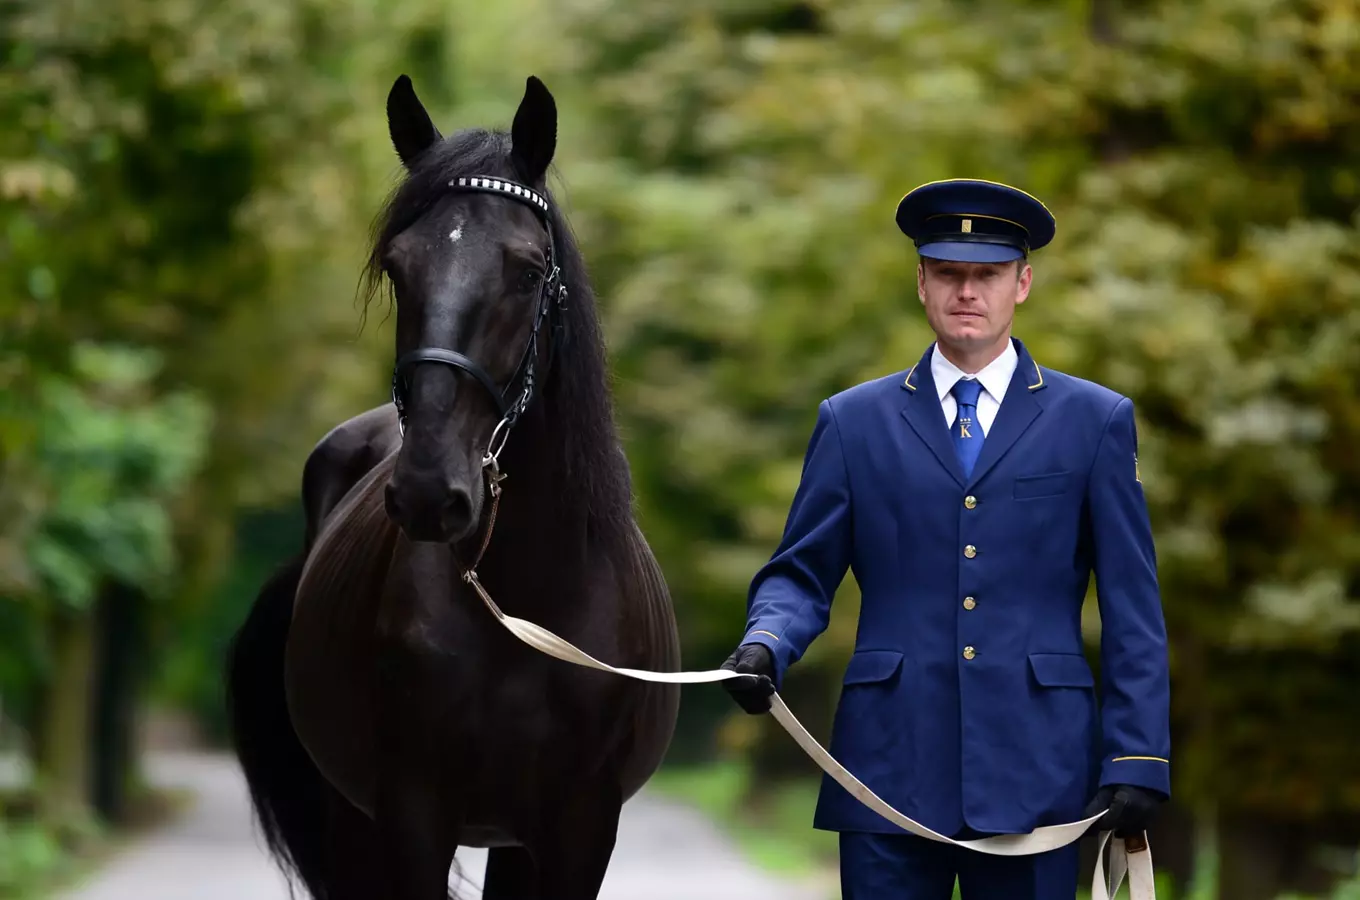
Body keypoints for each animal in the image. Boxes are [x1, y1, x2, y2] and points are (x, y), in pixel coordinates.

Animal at [229, 74, 690, 897]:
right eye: (397, 266)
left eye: (530, 271)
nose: (428, 492)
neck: (525, 601)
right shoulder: (412, 816)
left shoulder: (579, 832)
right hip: (354, 823)